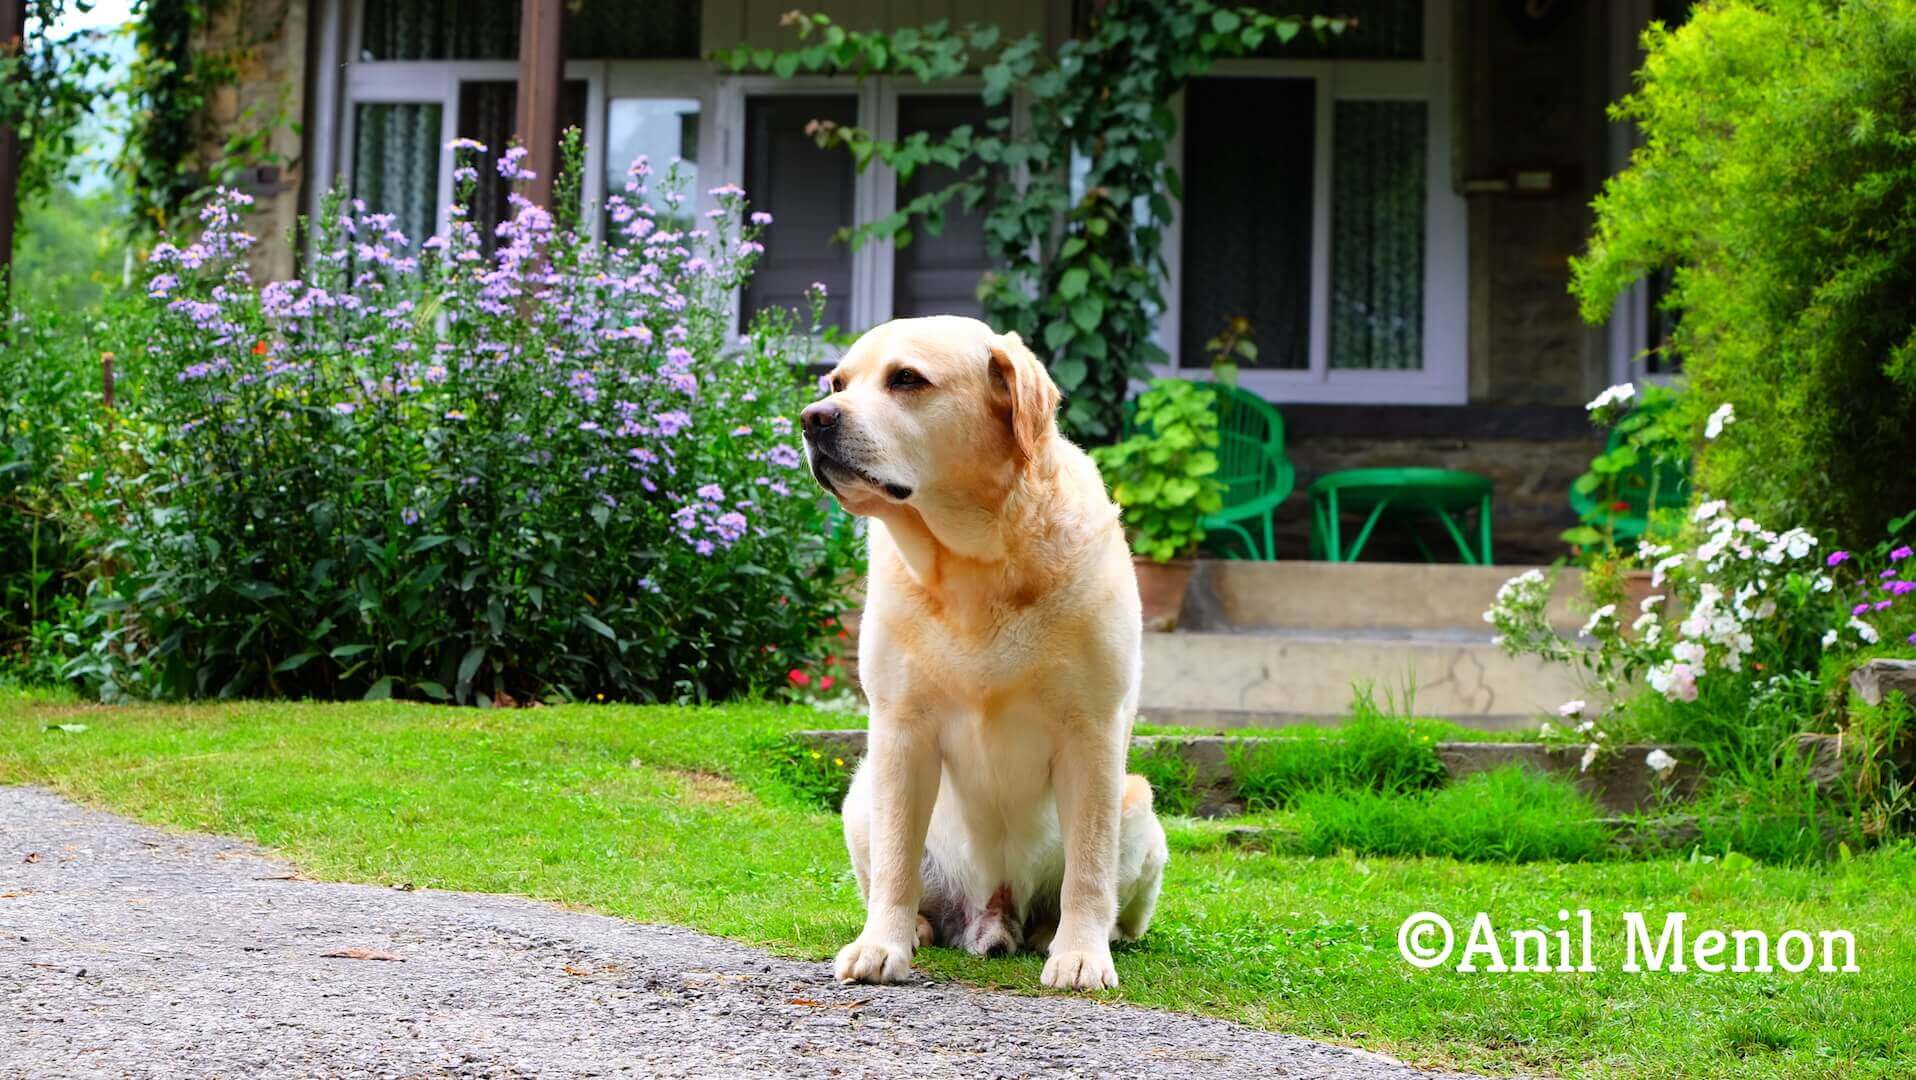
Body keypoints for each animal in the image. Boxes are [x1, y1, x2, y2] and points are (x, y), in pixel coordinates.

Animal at [797, 312, 1164, 988]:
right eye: (836, 383)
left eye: (906, 379)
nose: (814, 417)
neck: (976, 567)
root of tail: (995, 910)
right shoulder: (900, 728)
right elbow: (895, 860)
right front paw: (881, 946)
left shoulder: (1093, 732)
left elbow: (1089, 867)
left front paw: (1080, 955)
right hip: (861, 795)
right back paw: (916, 927)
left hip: (1137, 804)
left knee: (1109, 899)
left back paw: (1066, 935)